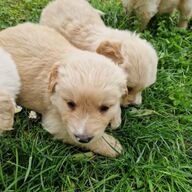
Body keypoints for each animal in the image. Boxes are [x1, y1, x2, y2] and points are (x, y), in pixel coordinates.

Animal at [0, 22, 127, 158]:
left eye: (105, 108)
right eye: (70, 104)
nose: (83, 138)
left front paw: (116, 119)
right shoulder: (54, 122)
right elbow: (85, 139)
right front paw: (112, 146)